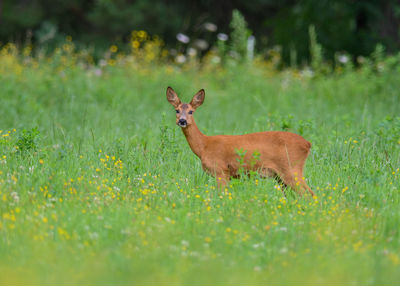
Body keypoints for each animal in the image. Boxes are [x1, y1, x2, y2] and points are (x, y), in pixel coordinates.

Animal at [166, 86, 316, 197]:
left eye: (191, 111)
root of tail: (307, 144)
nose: (182, 121)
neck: (204, 146)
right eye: (177, 110)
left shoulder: (221, 170)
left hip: (291, 168)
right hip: (281, 176)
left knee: (310, 194)